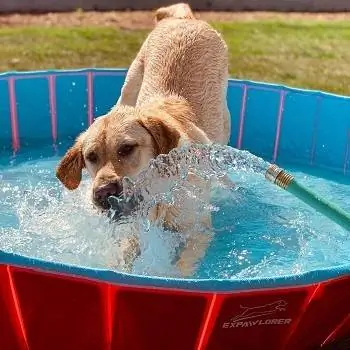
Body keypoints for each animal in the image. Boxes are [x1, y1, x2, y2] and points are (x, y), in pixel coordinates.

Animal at [56, 2, 231, 276]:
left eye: (127, 148)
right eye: (90, 157)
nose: (103, 193)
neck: (160, 192)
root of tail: (184, 18)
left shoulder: (198, 232)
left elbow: (182, 268)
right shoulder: (134, 232)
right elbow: (124, 256)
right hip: (130, 85)